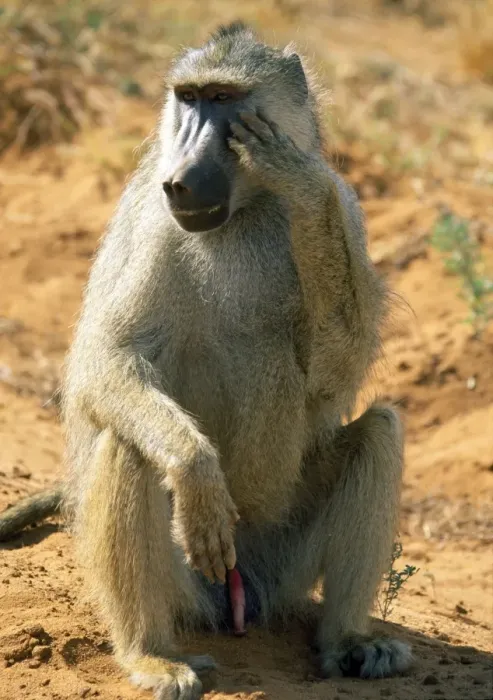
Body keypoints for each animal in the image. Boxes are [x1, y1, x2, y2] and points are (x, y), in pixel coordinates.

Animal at [0, 21, 412, 699]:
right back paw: (150, 654)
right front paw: (197, 473)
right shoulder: (152, 221)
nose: (182, 179)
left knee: (380, 430)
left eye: (224, 98)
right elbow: (106, 362)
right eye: (188, 98)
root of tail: (238, 595)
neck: (240, 214)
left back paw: (347, 642)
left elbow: (332, 380)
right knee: (129, 443)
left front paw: (293, 176)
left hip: (283, 559)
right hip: (190, 579)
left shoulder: (344, 209)